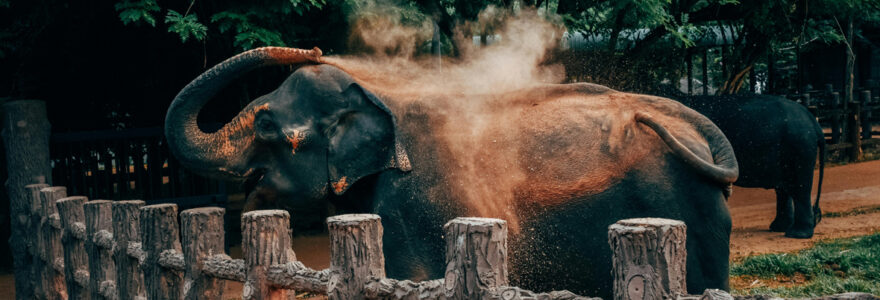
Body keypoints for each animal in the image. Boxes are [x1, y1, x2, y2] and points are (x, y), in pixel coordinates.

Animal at [163, 47, 736, 298]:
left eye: (265, 125)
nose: (315, 47)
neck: (379, 95)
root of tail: (699, 125)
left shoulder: (414, 202)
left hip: (686, 209)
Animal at [672, 95, 824, 238]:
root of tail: (813, 120)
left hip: (800, 146)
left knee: (800, 186)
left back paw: (796, 234)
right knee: (784, 188)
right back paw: (779, 228)